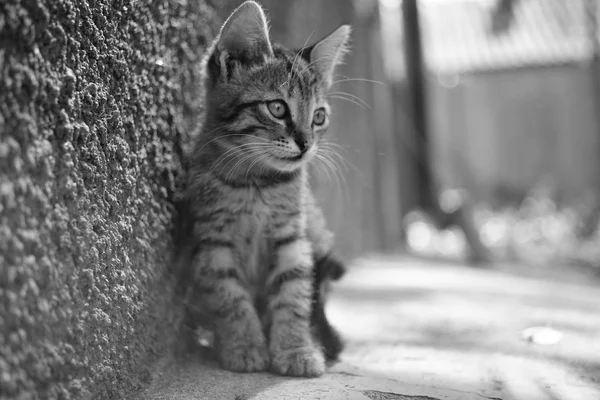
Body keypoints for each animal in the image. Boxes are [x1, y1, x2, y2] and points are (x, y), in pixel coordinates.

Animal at [185, 0, 350, 378]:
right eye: (277, 108)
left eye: (318, 117)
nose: (306, 144)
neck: (256, 183)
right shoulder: (213, 242)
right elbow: (230, 296)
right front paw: (244, 345)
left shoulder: (292, 239)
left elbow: (294, 295)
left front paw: (295, 350)